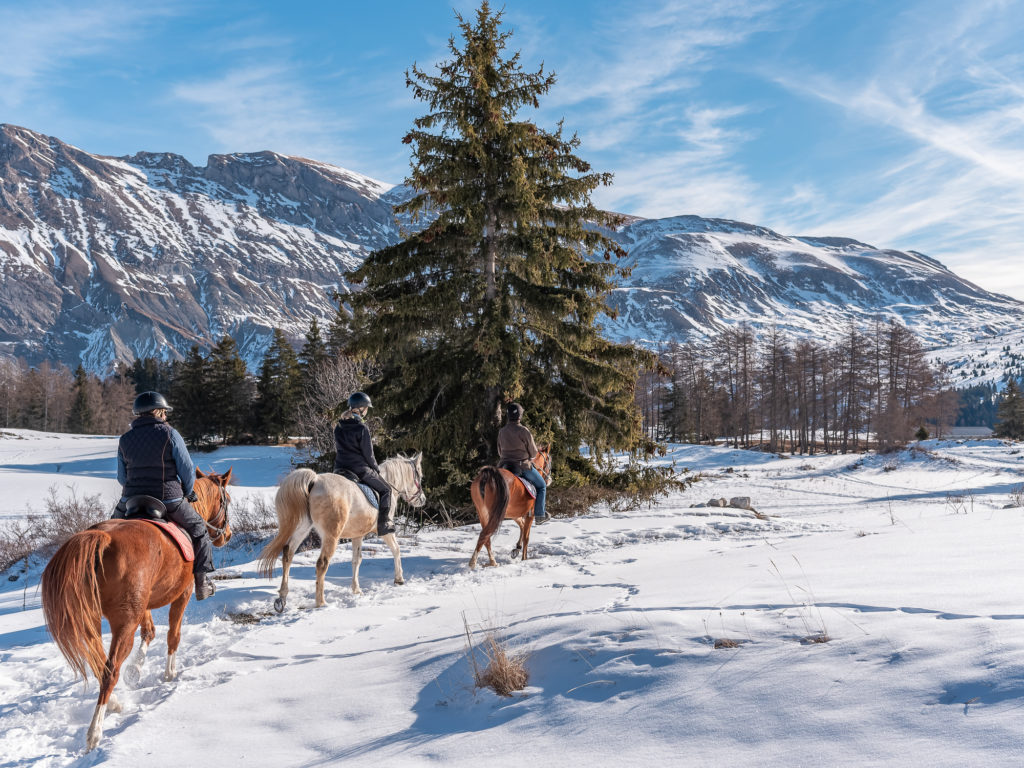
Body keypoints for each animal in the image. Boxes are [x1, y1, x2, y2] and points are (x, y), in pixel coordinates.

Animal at [40, 468, 233, 753]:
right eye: (226, 500)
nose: (226, 534)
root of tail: (103, 538)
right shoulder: (183, 594)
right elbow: (173, 635)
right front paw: (169, 673)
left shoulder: (143, 605)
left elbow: (150, 632)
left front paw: (136, 670)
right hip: (124, 622)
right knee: (109, 671)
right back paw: (94, 732)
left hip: (94, 619)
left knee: (99, 662)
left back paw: (114, 704)